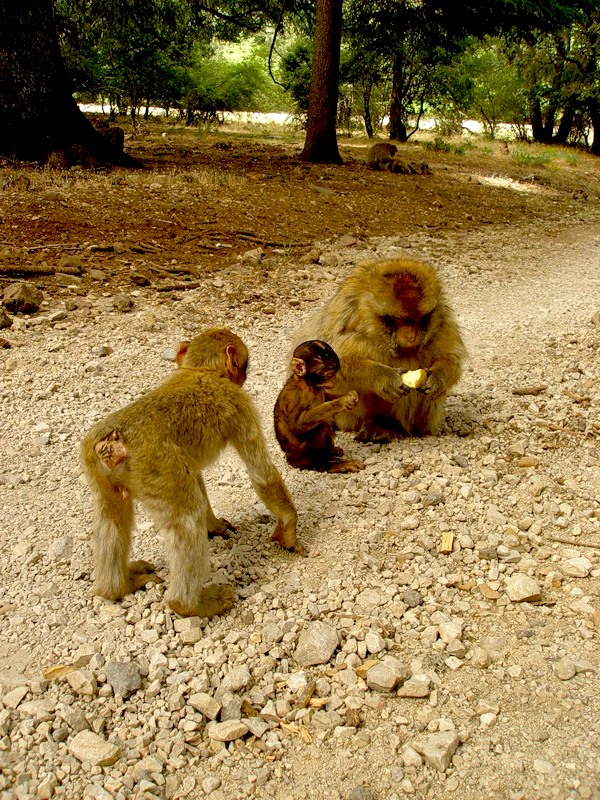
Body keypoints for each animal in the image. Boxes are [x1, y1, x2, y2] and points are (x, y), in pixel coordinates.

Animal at [81, 328, 301, 619]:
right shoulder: (240, 404)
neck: (200, 370)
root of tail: (111, 443)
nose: (242, 376)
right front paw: (289, 527)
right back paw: (189, 604)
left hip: (99, 470)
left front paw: (214, 525)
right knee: (186, 517)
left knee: (114, 515)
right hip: (155, 466)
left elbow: (195, 473)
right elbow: (261, 473)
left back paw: (115, 587)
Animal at [274, 340, 366, 474]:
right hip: (302, 456)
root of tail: (290, 458)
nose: (334, 380)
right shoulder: (298, 397)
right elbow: (296, 424)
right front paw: (341, 402)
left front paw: (351, 395)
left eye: (334, 374)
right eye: (329, 375)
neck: (308, 384)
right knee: (323, 428)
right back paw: (329, 465)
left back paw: (333, 452)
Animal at [293, 258, 466, 444]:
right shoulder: (344, 313)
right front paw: (383, 377)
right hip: (347, 417)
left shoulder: (441, 319)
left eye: (421, 319)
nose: (411, 337)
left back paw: (388, 426)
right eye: (396, 320)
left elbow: (451, 357)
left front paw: (438, 378)